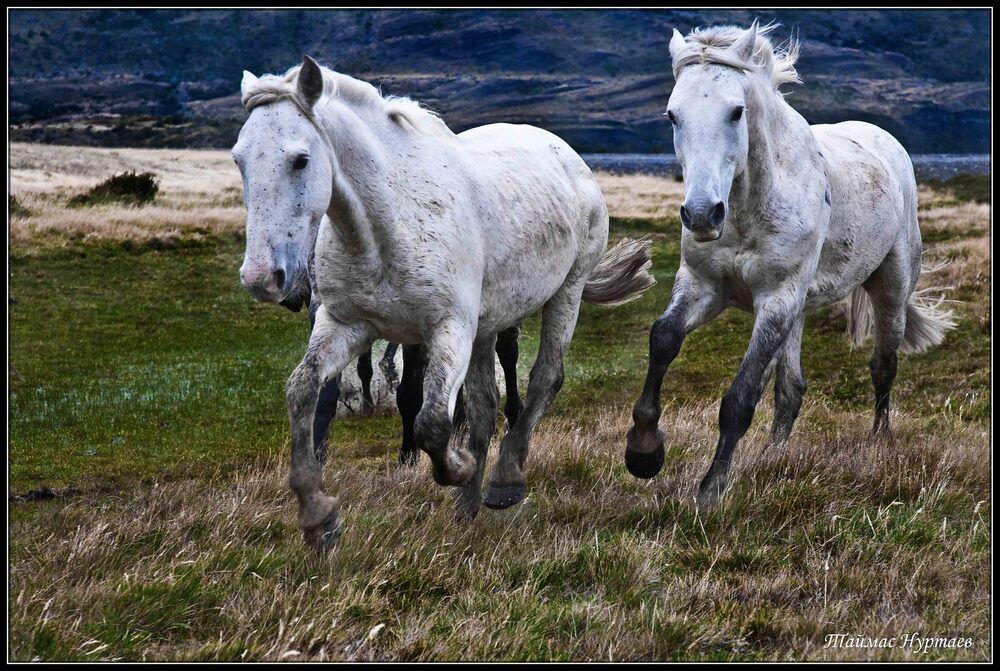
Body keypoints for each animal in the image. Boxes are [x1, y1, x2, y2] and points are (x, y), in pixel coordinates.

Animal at [234, 56, 655, 548]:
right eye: (239, 159)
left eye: (300, 159)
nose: (262, 278)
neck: (388, 225)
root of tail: (567, 155)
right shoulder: (344, 324)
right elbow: (303, 390)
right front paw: (319, 516)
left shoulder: (447, 329)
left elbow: (432, 420)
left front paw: (457, 467)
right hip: (487, 325)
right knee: (486, 406)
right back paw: (466, 507)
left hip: (564, 295)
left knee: (544, 380)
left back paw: (504, 482)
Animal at [625, 21, 956, 507]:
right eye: (672, 115)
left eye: (736, 112)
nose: (703, 214)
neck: (750, 207)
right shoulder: (704, 286)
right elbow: (664, 338)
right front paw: (644, 451)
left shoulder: (777, 299)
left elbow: (740, 397)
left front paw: (711, 489)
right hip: (797, 309)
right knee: (791, 388)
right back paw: (773, 454)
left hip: (890, 287)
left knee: (883, 365)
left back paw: (879, 440)